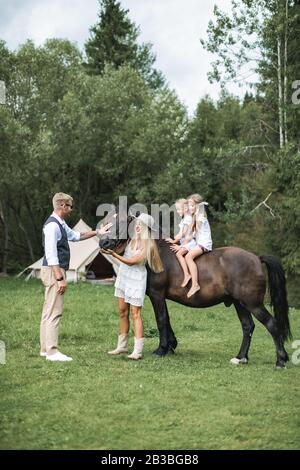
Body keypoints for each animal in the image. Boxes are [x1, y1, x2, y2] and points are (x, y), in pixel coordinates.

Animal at [100, 211, 290, 370]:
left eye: (122, 221)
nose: (104, 242)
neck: (156, 254)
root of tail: (256, 258)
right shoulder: (162, 297)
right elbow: (167, 320)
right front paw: (171, 346)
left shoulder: (157, 295)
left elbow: (161, 320)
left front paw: (161, 349)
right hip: (240, 303)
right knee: (247, 326)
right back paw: (240, 358)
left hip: (253, 304)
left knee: (272, 324)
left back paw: (281, 360)